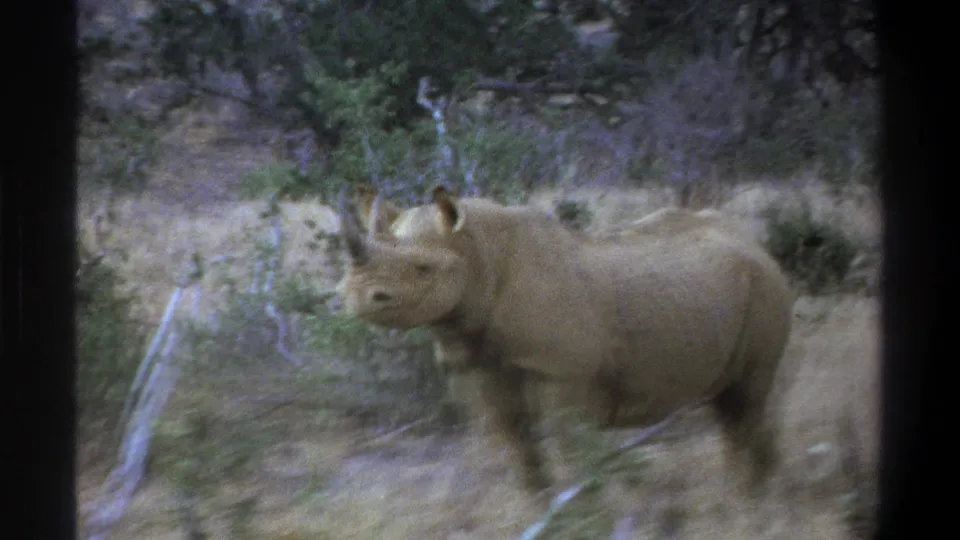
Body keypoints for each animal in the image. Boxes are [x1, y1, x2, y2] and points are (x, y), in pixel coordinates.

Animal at [336, 186, 795, 495]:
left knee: (749, 399)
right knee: (731, 406)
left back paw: (754, 503)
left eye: (423, 268)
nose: (356, 295)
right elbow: (520, 458)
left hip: (766, 286)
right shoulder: (475, 362)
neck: (480, 255)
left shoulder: (562, 373)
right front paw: (542, 512)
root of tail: (753, 241)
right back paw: (742, 497)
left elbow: (568, 454)